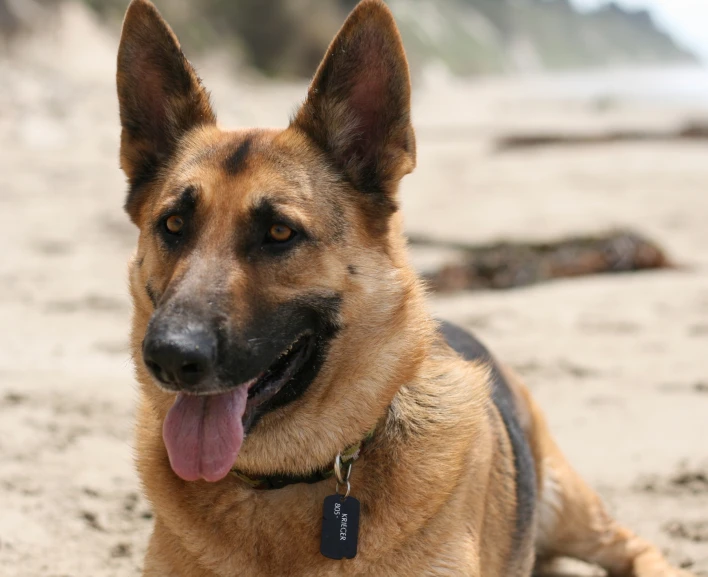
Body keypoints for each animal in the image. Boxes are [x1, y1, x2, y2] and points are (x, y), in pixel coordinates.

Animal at [117, 2, 696, 572]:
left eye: (280, 232)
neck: (284, 478)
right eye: (173, 225)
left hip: (568, 504)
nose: (171, 357)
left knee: (633, 546)